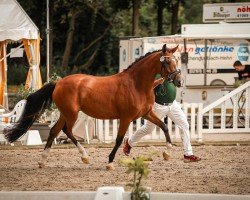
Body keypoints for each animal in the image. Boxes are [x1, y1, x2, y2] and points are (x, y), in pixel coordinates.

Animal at [3, 44, 180, 170]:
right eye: (168, 61)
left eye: (176, 61)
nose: (179, 81)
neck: (136, 84)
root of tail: (59, 82)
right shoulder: (126, 118)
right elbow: (118, 139)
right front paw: (110, 162)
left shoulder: (147, 113)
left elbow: (164, 126)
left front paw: (167, 152)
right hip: (72, 114)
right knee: (67, 131)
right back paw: (85, 156)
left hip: (65, 113)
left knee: (54, 131)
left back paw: (43, 161)